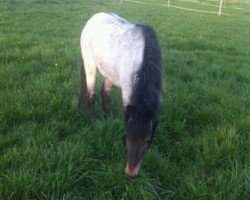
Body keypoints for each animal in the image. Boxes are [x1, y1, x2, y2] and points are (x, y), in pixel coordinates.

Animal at [79, 13, 163, 177]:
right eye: (127, 137)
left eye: (147, 141)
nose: (130, 174)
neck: (142, 56)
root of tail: (93, 18)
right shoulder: (127, 95)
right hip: (90, 66)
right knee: (91, 95)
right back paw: (94, 123)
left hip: (109, 73)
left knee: (104, 93)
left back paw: (108, 118)